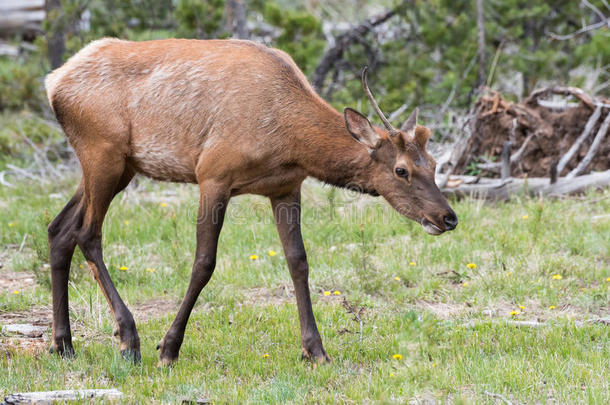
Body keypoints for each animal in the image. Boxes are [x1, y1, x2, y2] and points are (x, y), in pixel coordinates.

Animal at [45, 38, 454, 366]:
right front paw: (169, 348)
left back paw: (64, 345)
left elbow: (298, 262)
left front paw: (315, 350)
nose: (448, 217)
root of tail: (53, 82)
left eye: (435, 163)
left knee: (59, 228)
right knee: (87, 233)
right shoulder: (213, 175)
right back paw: (129, 341)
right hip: (103, 153)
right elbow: (204, 263)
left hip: (121, 165)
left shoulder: (285, 188)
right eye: (401, 170)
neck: (291, 143)